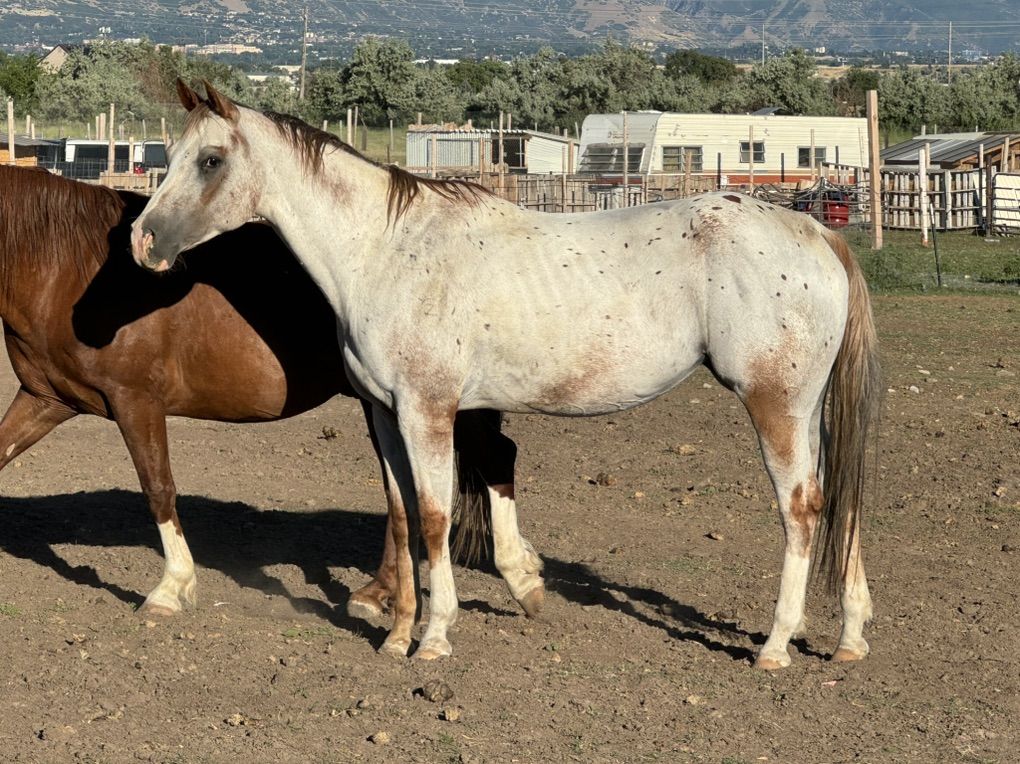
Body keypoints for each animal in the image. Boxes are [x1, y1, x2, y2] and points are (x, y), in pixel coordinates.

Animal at [0, 164, 545, 623]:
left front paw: (172, 587)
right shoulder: (43, 400)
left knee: (496, 456)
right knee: (408, 494)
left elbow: (158, 489)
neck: (67, 269)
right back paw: (379, 593)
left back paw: (521, 577)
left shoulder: (136, 402)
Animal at [131, 80, 881, 669]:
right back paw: (848, 638)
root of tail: (820, 235)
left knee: (801, 508)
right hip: (806, 410)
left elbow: (435, 517)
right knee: (838, 502)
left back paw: (776, 646)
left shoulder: (427, 411)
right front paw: (397, 633)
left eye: (210, 159)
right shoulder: (385, 414)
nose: (143, 241)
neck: (384, 250)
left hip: (774, 406)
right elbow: (403, 516)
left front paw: (434, 637)